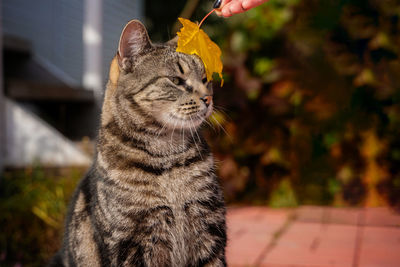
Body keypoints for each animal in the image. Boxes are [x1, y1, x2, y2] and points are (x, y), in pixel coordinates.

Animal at [47, 19, 225, 266]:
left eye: (206, 79)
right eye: (176, 80)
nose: (208, 99)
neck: (166, 159)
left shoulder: (210, 229)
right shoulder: (131, 243)